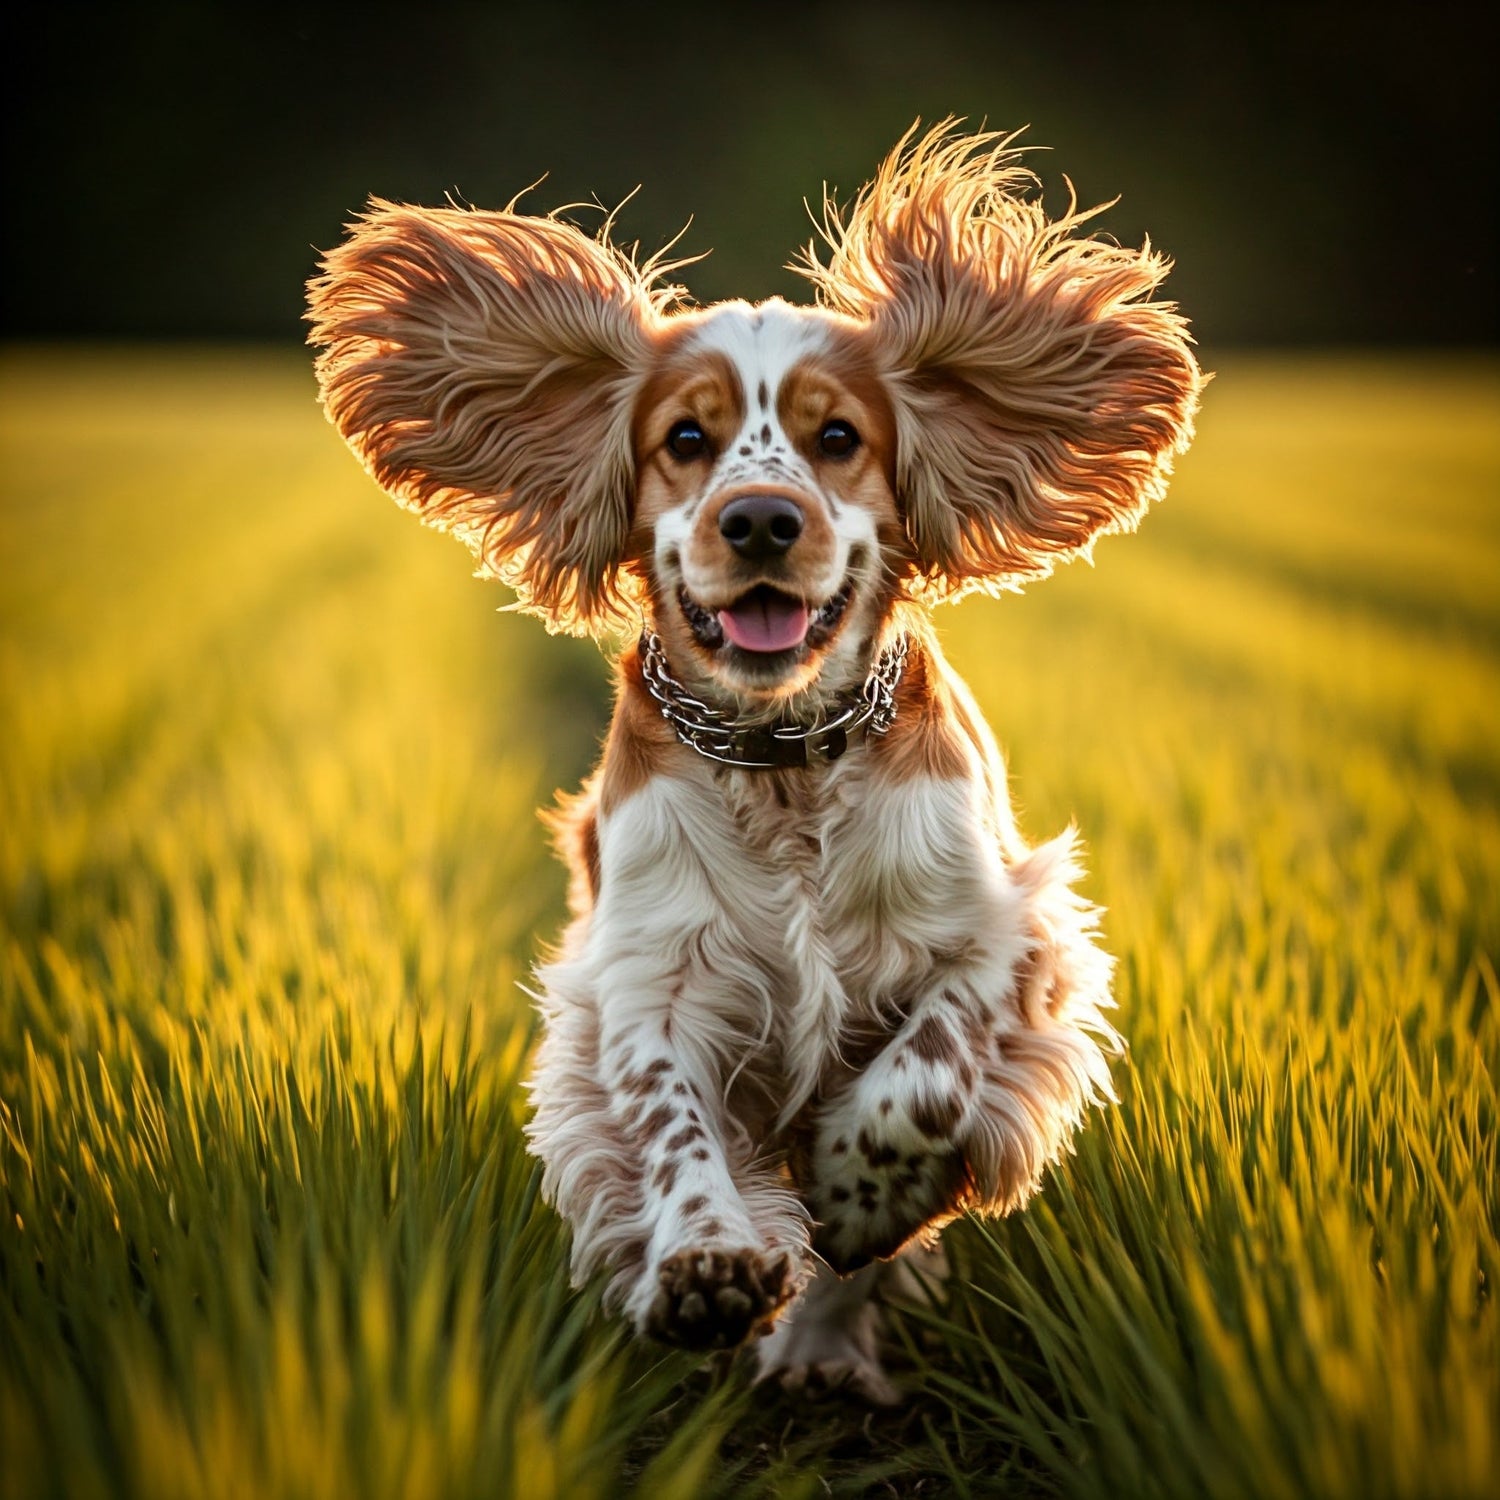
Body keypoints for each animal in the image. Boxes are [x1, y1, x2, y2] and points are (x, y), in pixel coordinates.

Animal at [310, 123, 1200, 1398]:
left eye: (838, 439)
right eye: (686, 440)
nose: (764, 520)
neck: (783, 765)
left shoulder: (1005, 927)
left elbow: (932, 1069)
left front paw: (861, 1184)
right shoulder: (648, 983)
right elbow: (674, 1128)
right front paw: (709, 1265)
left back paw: (823, 1351)